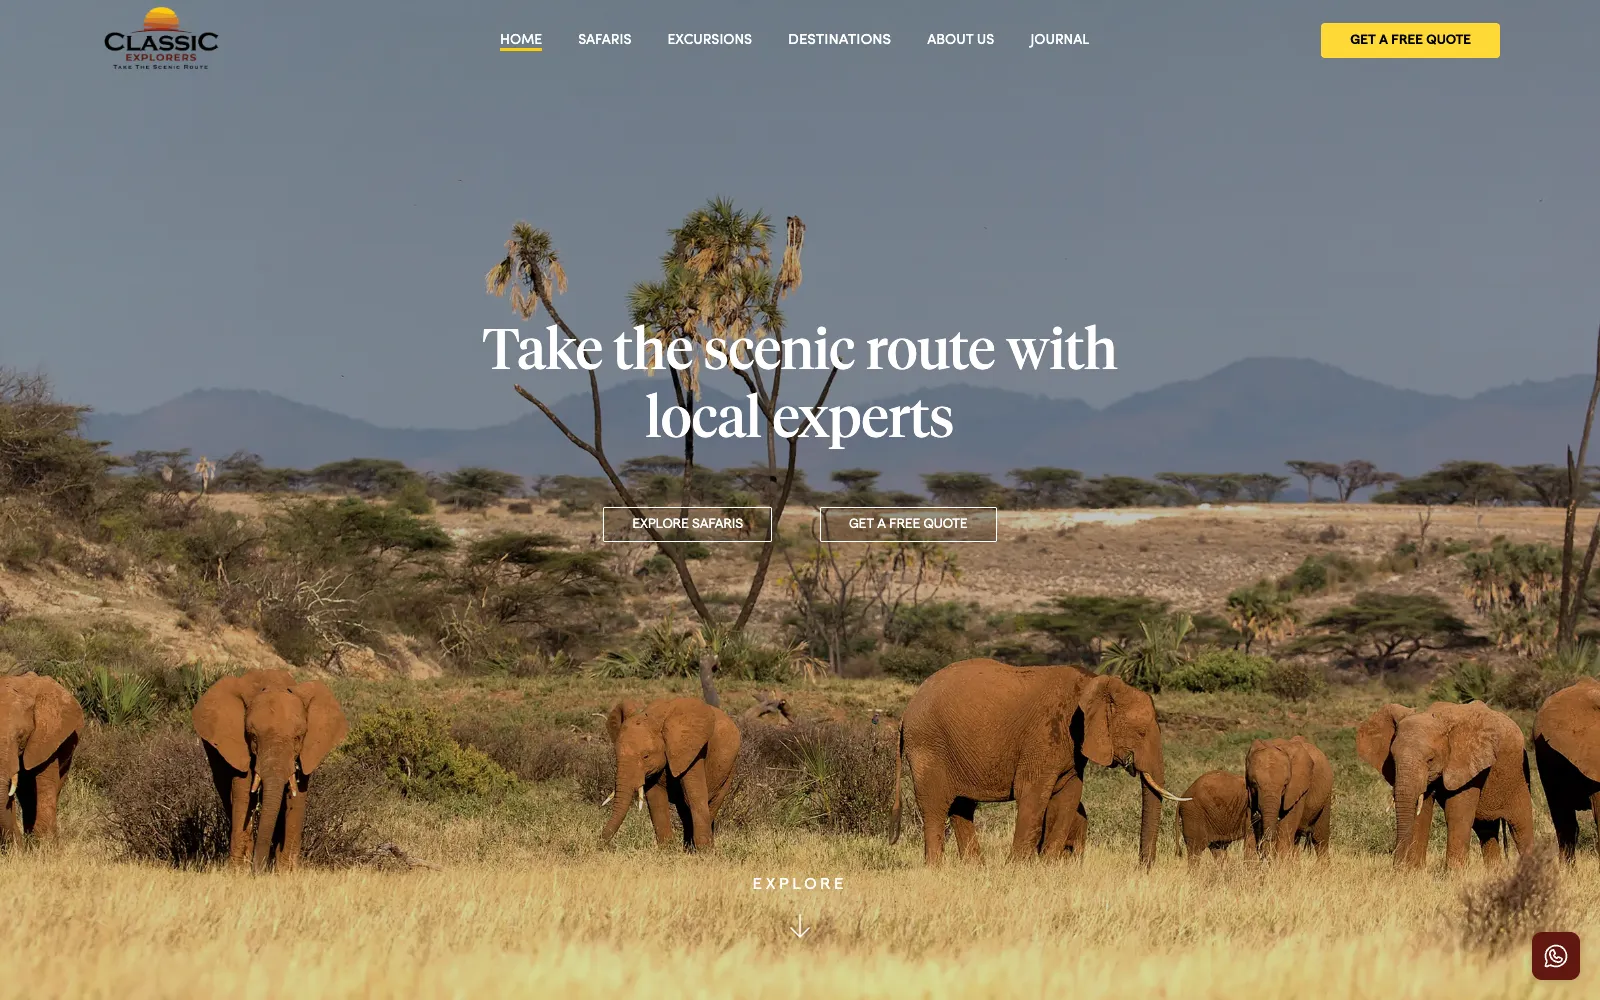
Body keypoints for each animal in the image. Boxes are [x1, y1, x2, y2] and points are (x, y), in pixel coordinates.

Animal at [191, 668, 348, 873]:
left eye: (298, 738)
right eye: (253, 737)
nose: (257, 870)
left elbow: (297, 798)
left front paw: (286, 872)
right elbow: (244, 792)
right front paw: (239, 871)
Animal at [600, 697, 740, 852]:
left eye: (646, 756)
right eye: (616, 755)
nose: (600, 844)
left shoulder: (692, 750)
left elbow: (694, 795)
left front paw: (704, 853)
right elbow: (656, 798)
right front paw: (667, 850)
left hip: (730, 768)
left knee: (710, 803)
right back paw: (688, 850)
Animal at [889, 658, 1187, 868]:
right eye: (1141, 733)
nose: (1142, 867)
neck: (1093, 683)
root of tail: (906, 711)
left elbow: (1069, 794)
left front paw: (1047, 867)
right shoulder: (1045, 734)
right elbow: (1032, 794)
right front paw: (1017, 868)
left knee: (962, 807)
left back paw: (976, 869)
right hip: (928, 745)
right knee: (935, 806)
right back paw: (936, 869)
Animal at [1356, 701, 1533, 869]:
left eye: (1430, 760)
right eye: (1392, 759)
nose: (1398, 866)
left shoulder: (1468, 765)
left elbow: (1456, 813)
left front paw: (1453, 875)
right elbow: (1422, 813)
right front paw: (1414, 872)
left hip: (1519, 778)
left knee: (1521, 828)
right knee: (1486, 830)